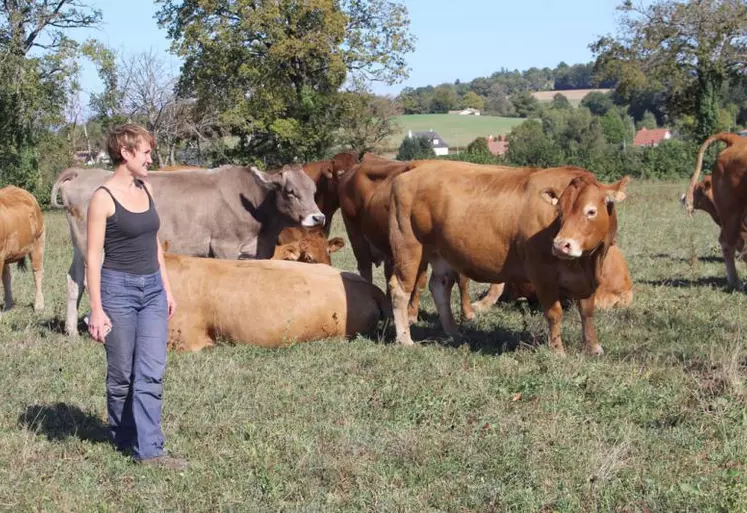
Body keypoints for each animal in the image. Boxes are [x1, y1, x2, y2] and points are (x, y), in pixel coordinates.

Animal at [51, 162, 322, 334]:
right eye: (290, 192)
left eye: (314, 190)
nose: (318, 217)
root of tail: (84, 173)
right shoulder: (224, 244)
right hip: (94, 246)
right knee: (91, 281)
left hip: (80, 246)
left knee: (74, 280)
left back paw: (71, 330)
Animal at [388, 162, 628, 354]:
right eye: (559, 212)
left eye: (591, 211)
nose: (561, 245)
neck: (586, 262)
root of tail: (411, 173)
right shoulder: (542, 274)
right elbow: (554, 313)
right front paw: (558, 351)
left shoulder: (587, 280)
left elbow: (587, 313)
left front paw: (593, 347)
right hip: (408, 246)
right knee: (399, 289)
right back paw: (405, 339)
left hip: (441, 252)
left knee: (440, 287)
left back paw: (453, 332)